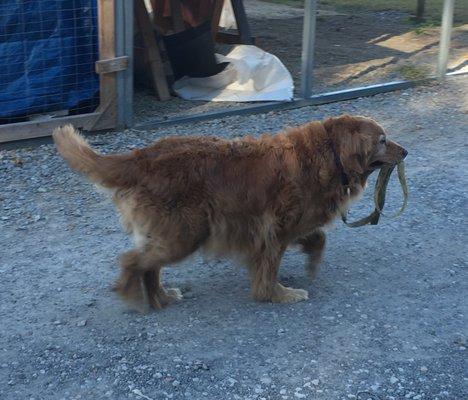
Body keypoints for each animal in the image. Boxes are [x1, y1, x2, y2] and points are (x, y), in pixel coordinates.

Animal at [53, 114, 408, 310]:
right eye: (382, 140)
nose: (405, 151)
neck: (329, 154)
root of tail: (140, 157)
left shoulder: (291, 225)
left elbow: (318, 238)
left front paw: (311, 263)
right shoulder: (273, 231)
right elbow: (268, 271)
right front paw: (279, 295)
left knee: (148, 267)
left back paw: (161, 298)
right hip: (185, 233)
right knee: (133, 262)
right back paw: (133, 296)